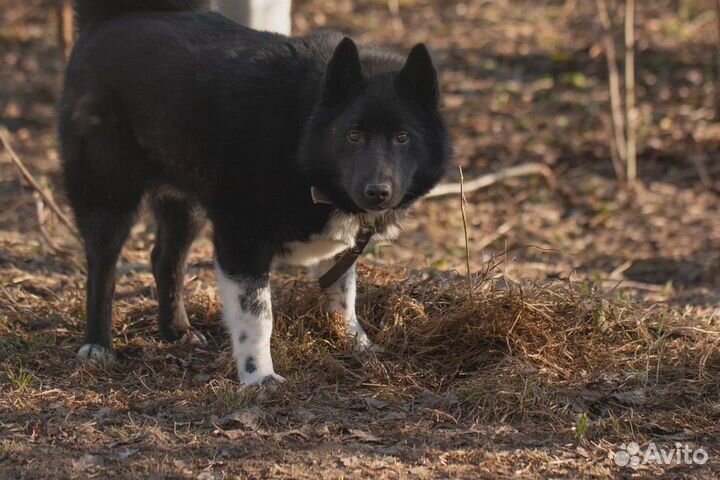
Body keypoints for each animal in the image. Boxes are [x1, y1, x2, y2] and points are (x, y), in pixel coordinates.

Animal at [63, 0, 456, 384]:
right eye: (353, 135)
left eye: (402, 137)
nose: (378, 192)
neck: (301, 130)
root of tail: (114, 17)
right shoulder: (242, 241)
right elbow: (257, 317)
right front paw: (259, 377)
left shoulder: (338, 252)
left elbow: (344, 296)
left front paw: (355, 343)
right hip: (108, 193)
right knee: (102, 266)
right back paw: (97, 345)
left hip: (186, 203)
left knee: (165, 260)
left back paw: (177, 331)